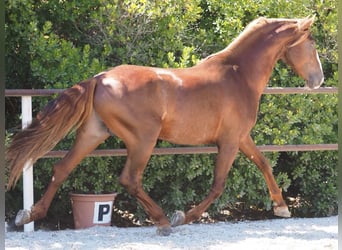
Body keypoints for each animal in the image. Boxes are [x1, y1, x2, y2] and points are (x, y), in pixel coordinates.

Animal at [7, 16, 324, 235]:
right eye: (312, 44)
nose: (318, 80)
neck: (239, 74)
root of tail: (101, 78)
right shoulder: (230, 141)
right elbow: (218, 185)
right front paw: (182, 217)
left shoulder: (242, 138)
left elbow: (264, 164)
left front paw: (281, 207)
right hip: (143, 139)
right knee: (130, 179)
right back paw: (162, 221)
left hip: (93, 133)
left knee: (61, 168)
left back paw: (28, 215)